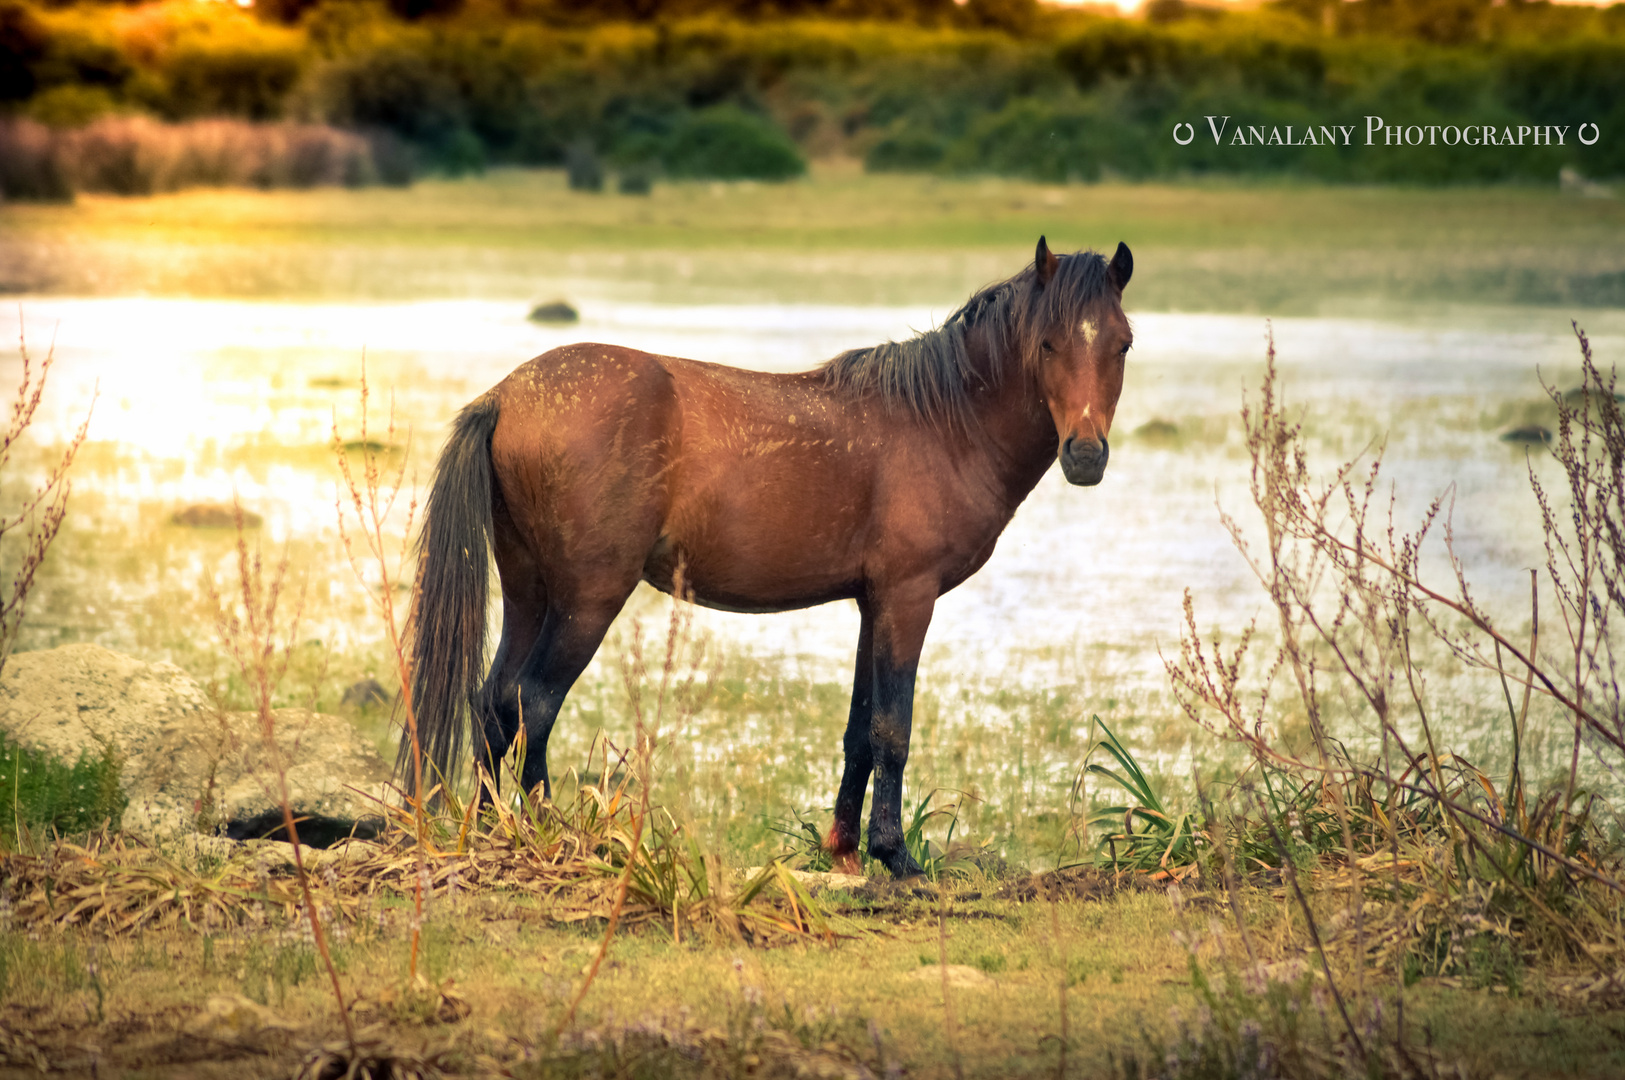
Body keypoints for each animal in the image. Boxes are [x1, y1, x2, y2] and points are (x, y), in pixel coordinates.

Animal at [412, 235, 1137, 876]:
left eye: (1122, 343)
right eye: (1047, 343)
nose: (1085, 455)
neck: (941, 422)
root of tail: (508, 395)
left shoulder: (872, 603)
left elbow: (859, 729)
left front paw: (844, 850)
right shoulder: (908, 598)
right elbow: (892, 729)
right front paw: (897, 857)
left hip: (529, 592)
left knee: (494, 702)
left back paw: (490, 832)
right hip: (587, 598)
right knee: (534, 702)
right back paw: (547, 832)